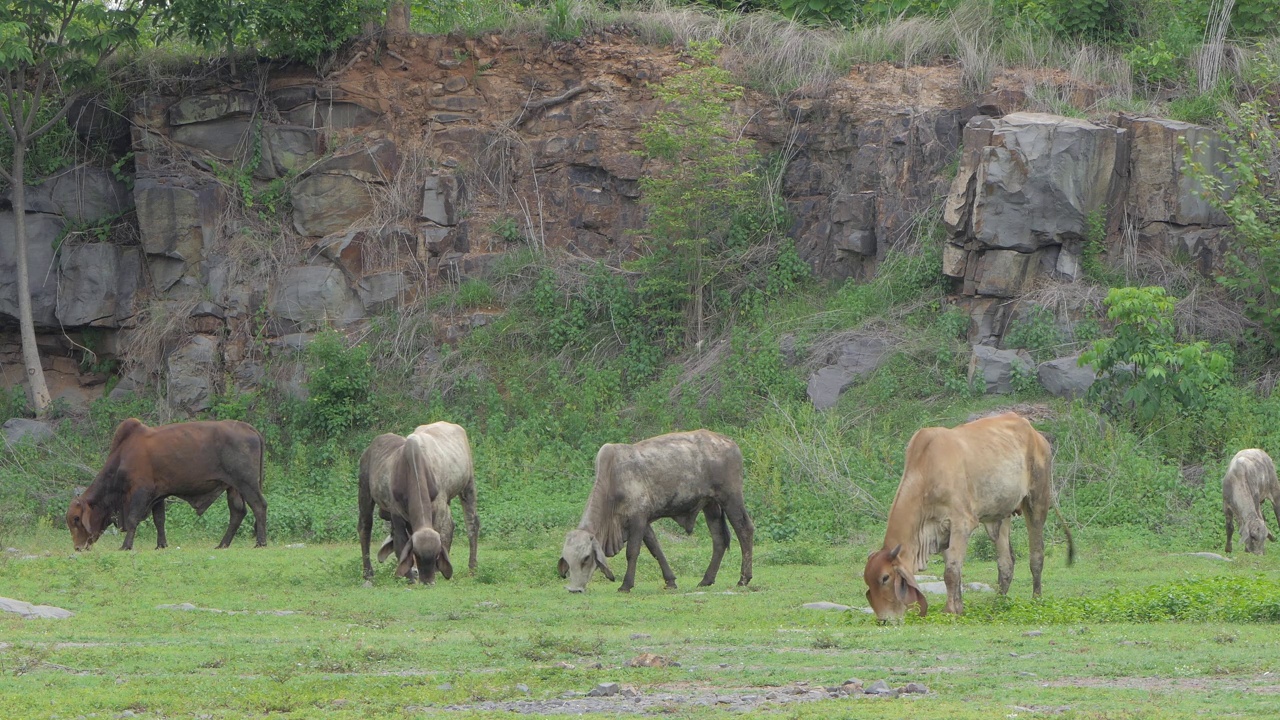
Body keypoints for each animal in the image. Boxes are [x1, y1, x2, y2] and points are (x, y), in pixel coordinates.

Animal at [66, 417, 267, 545]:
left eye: (76, 519)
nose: (78, 547)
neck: (123, 456)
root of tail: (249, 428)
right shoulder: (158, 496)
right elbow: (159, 520)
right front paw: (161, 545)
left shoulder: (141, 492)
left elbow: (132, 519)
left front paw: (125, 546)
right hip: (233, 487)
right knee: (238, 512)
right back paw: (222, 544)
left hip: (247, 483)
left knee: (259, 506)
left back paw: (260, 542)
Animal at [358, 427, 453, 579]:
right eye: (416, 554)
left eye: (436, 555)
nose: (427, 580)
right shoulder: (397, 515)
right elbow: (401, 544)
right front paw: (409, 577)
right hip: (364, 491)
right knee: (364, 527)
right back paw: (368, 572)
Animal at [376, 420, 481, 571]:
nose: (415, 570)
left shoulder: (439, 505)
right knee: (451, 525)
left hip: (468, 485)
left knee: (471, 523)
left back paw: (472, 567)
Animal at [558, 427, 747, 591]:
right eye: (567, 560)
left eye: (586, 558)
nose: (574, 589)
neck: (613, 480)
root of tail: (729, 442)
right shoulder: (644, 522)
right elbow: (656, 549)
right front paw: (670, 581)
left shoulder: (638, 519)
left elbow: (632, 552)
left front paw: (626, 585)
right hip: (711, 506)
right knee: (719, 540)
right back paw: (706, 580)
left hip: (731, 498)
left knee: (745, 530)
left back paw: (744, 579)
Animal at [865, 412, 1075, 620]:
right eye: (868, 582)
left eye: (885, 578)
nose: (884, 619)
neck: (927, 472)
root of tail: (1035, 433)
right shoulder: (942, 531)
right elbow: (954, 570)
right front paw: (958, 607)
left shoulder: (962, 523)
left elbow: (951, 572)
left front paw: (950, 610)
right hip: (1000, 515)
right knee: (1006, 562)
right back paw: (998, 603)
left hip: (1037, 501)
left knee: (1036, 555)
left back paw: (1036, 599)